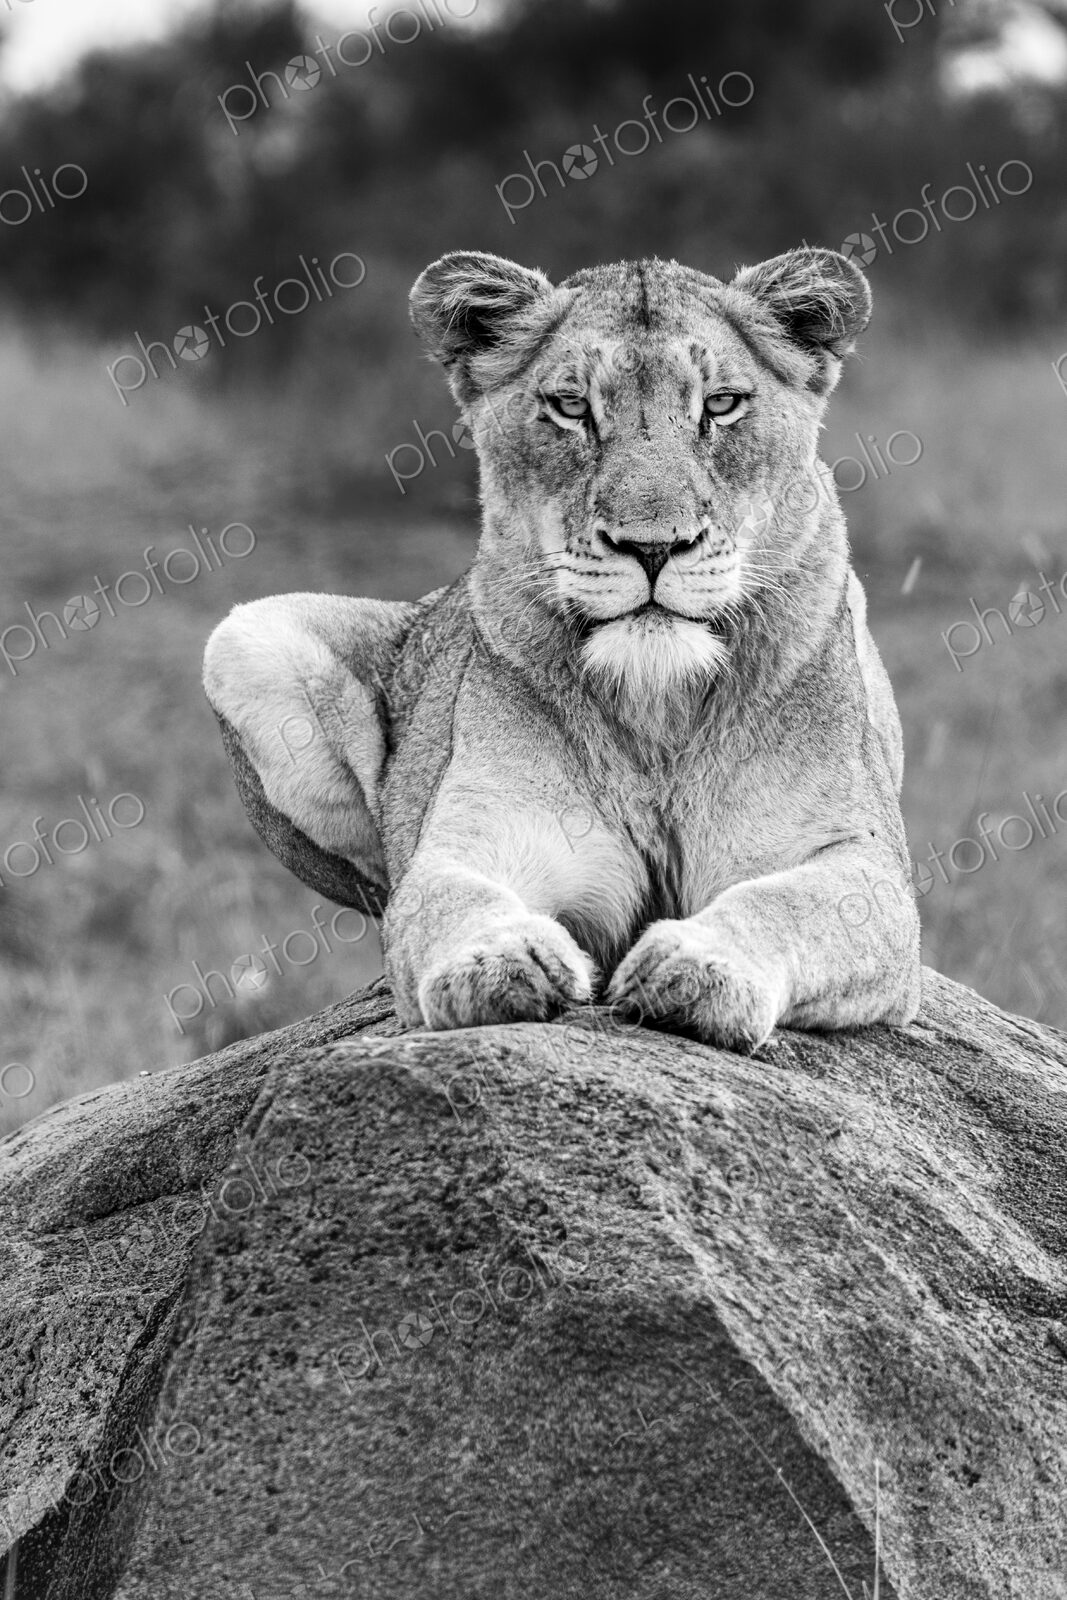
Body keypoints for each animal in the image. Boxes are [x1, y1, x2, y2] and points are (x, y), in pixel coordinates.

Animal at [202, 246, 921, 1050]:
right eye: (572, 408)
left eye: (722, 404)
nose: (652, 546)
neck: (657, 710)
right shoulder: (470, 842)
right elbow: (446, 900)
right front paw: (499, 961)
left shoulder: (864, 863)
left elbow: (782, 903)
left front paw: (698, 968)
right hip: (239, 637)